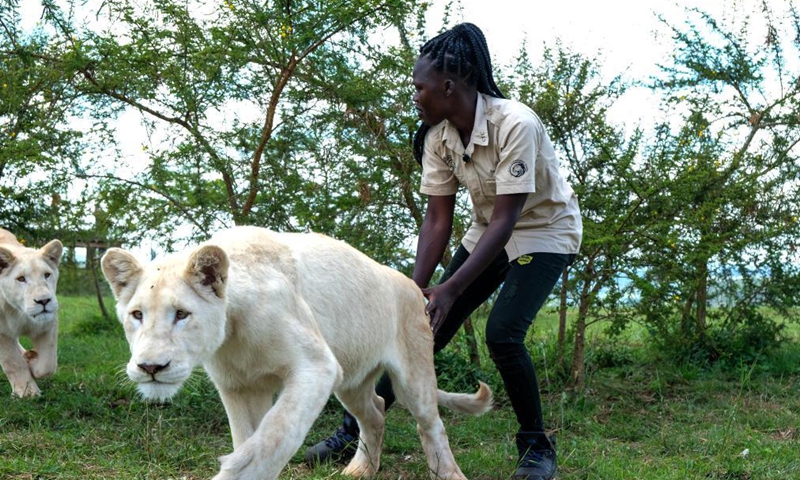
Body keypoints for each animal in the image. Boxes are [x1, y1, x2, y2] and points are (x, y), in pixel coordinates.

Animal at [0, 229, 63, 398]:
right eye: (21, 279)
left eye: (47, 275)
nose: (44, 301)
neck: (19, 312)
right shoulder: (2, 334)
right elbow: (12, 362)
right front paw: (27, 392)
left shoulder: (48, 323)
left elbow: (48, 363)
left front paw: (31, 362)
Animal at [103, 226, 490, 480]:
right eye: (137, 315)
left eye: (182, 314)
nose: (151, 366)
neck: (232, 332)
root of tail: (414, 285)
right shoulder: (239, 386)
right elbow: (249, 437)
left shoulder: (316, 366)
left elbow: (274, 435)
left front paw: (235, 468)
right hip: (352, 379)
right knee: (376, 412)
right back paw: (360, 470)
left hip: (412, 373)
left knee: (431, 424)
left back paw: (449, 474)